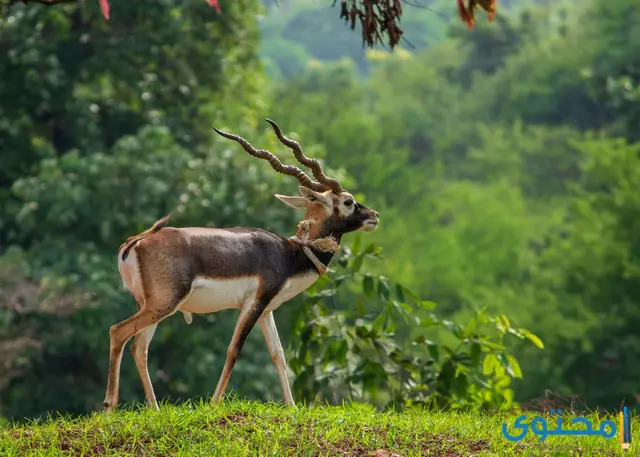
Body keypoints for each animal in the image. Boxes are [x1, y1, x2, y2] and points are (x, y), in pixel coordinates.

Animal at [102, 118, 378, 410]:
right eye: (348, 201)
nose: (374, 215)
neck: (290, 254)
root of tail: (135, 243)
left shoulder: (267, 310)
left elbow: (278, 354)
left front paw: (291, 407)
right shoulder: (253, 304)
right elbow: (234, 349)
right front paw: (214, 404)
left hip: (152, 306)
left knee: (139, 347)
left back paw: (154, 410)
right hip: (164, 303)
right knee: (118, 332)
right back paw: (109, 407)